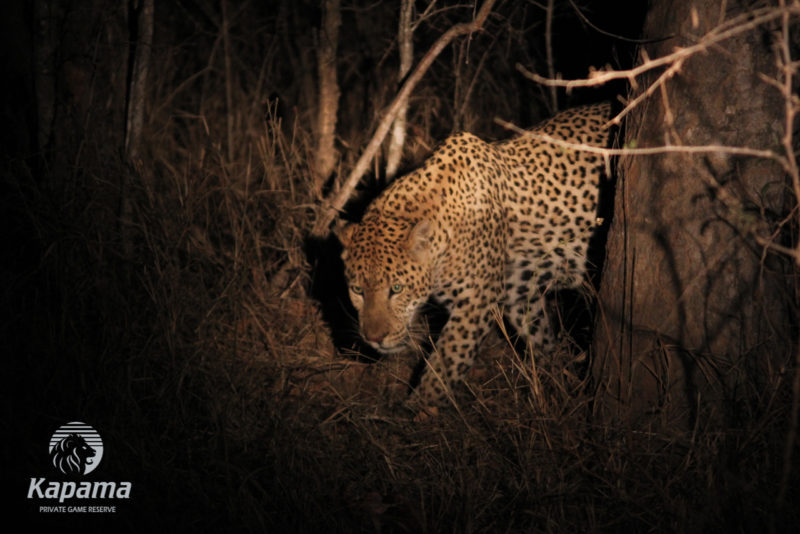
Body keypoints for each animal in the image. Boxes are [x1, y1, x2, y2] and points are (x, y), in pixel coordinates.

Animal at [336, 102, 612, 409]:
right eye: (357, 290)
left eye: (396, 289)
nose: (373, 339)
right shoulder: (518, 292)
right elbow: (539, 336)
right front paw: (553, 376)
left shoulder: (477, 302)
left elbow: (447, 361)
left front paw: (419, 409)